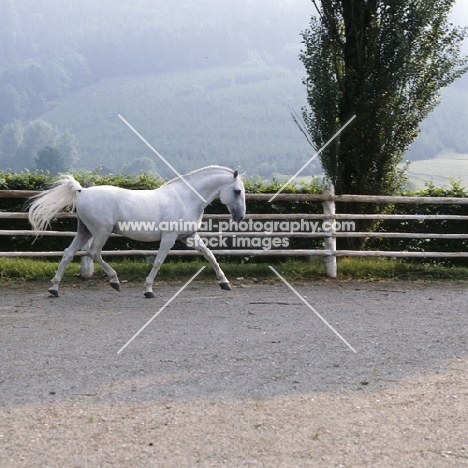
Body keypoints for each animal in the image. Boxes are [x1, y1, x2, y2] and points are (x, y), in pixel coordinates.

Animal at [27, 165, 247, 296]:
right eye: (237, 191)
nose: (240, 217)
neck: (186, 198)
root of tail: (83, 191)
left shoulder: (189, 237)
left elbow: (210, 255)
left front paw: (225, 283)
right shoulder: (169, 238)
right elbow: (158, 261)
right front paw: (148, 289)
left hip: (85, 231)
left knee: (68, 253)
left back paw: (54, 288)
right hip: (101, 232)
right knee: (93, 253)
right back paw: (115, 281)